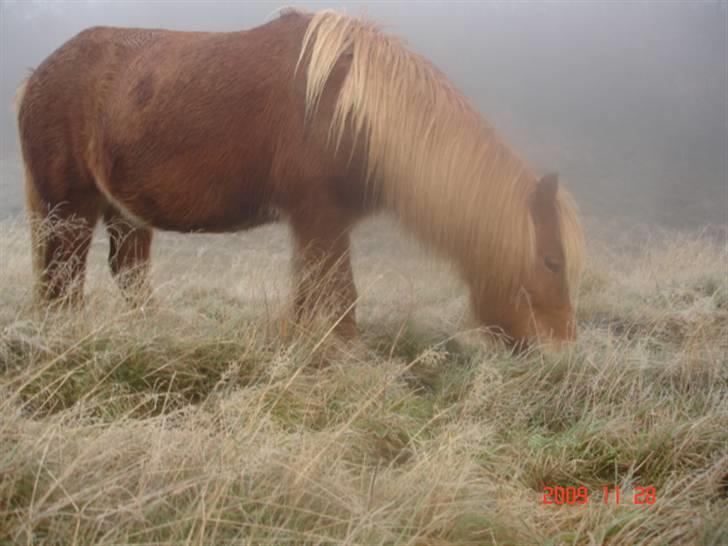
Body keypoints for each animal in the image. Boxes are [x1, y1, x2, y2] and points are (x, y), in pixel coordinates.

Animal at [15, 9, 584, 347]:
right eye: (552, 262)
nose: (560, 349)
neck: (357, 109)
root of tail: (36, 77)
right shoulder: (320, 216)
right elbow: (338, 296)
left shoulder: (320, 224)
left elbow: (314, 295)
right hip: (70, 210)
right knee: (64, 279)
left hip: (124, 213)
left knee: (125, 275)